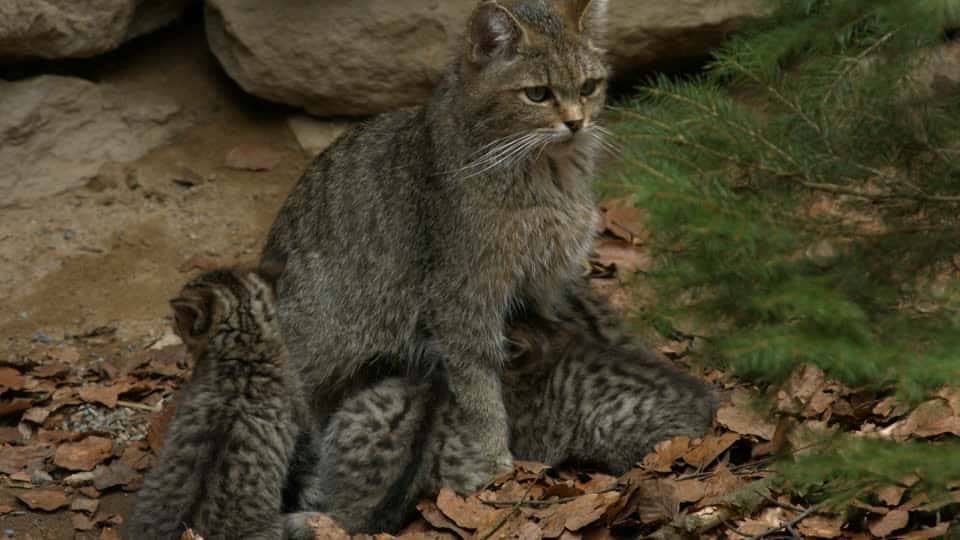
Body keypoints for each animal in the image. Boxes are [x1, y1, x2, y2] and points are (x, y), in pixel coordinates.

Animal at [258, 0, 612, 498]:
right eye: (538, 94)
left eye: (588, 86)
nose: (576, 122)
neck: (544, 174)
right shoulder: (463, 301)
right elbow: (480, 387)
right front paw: (492, 454)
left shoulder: (543, 286)